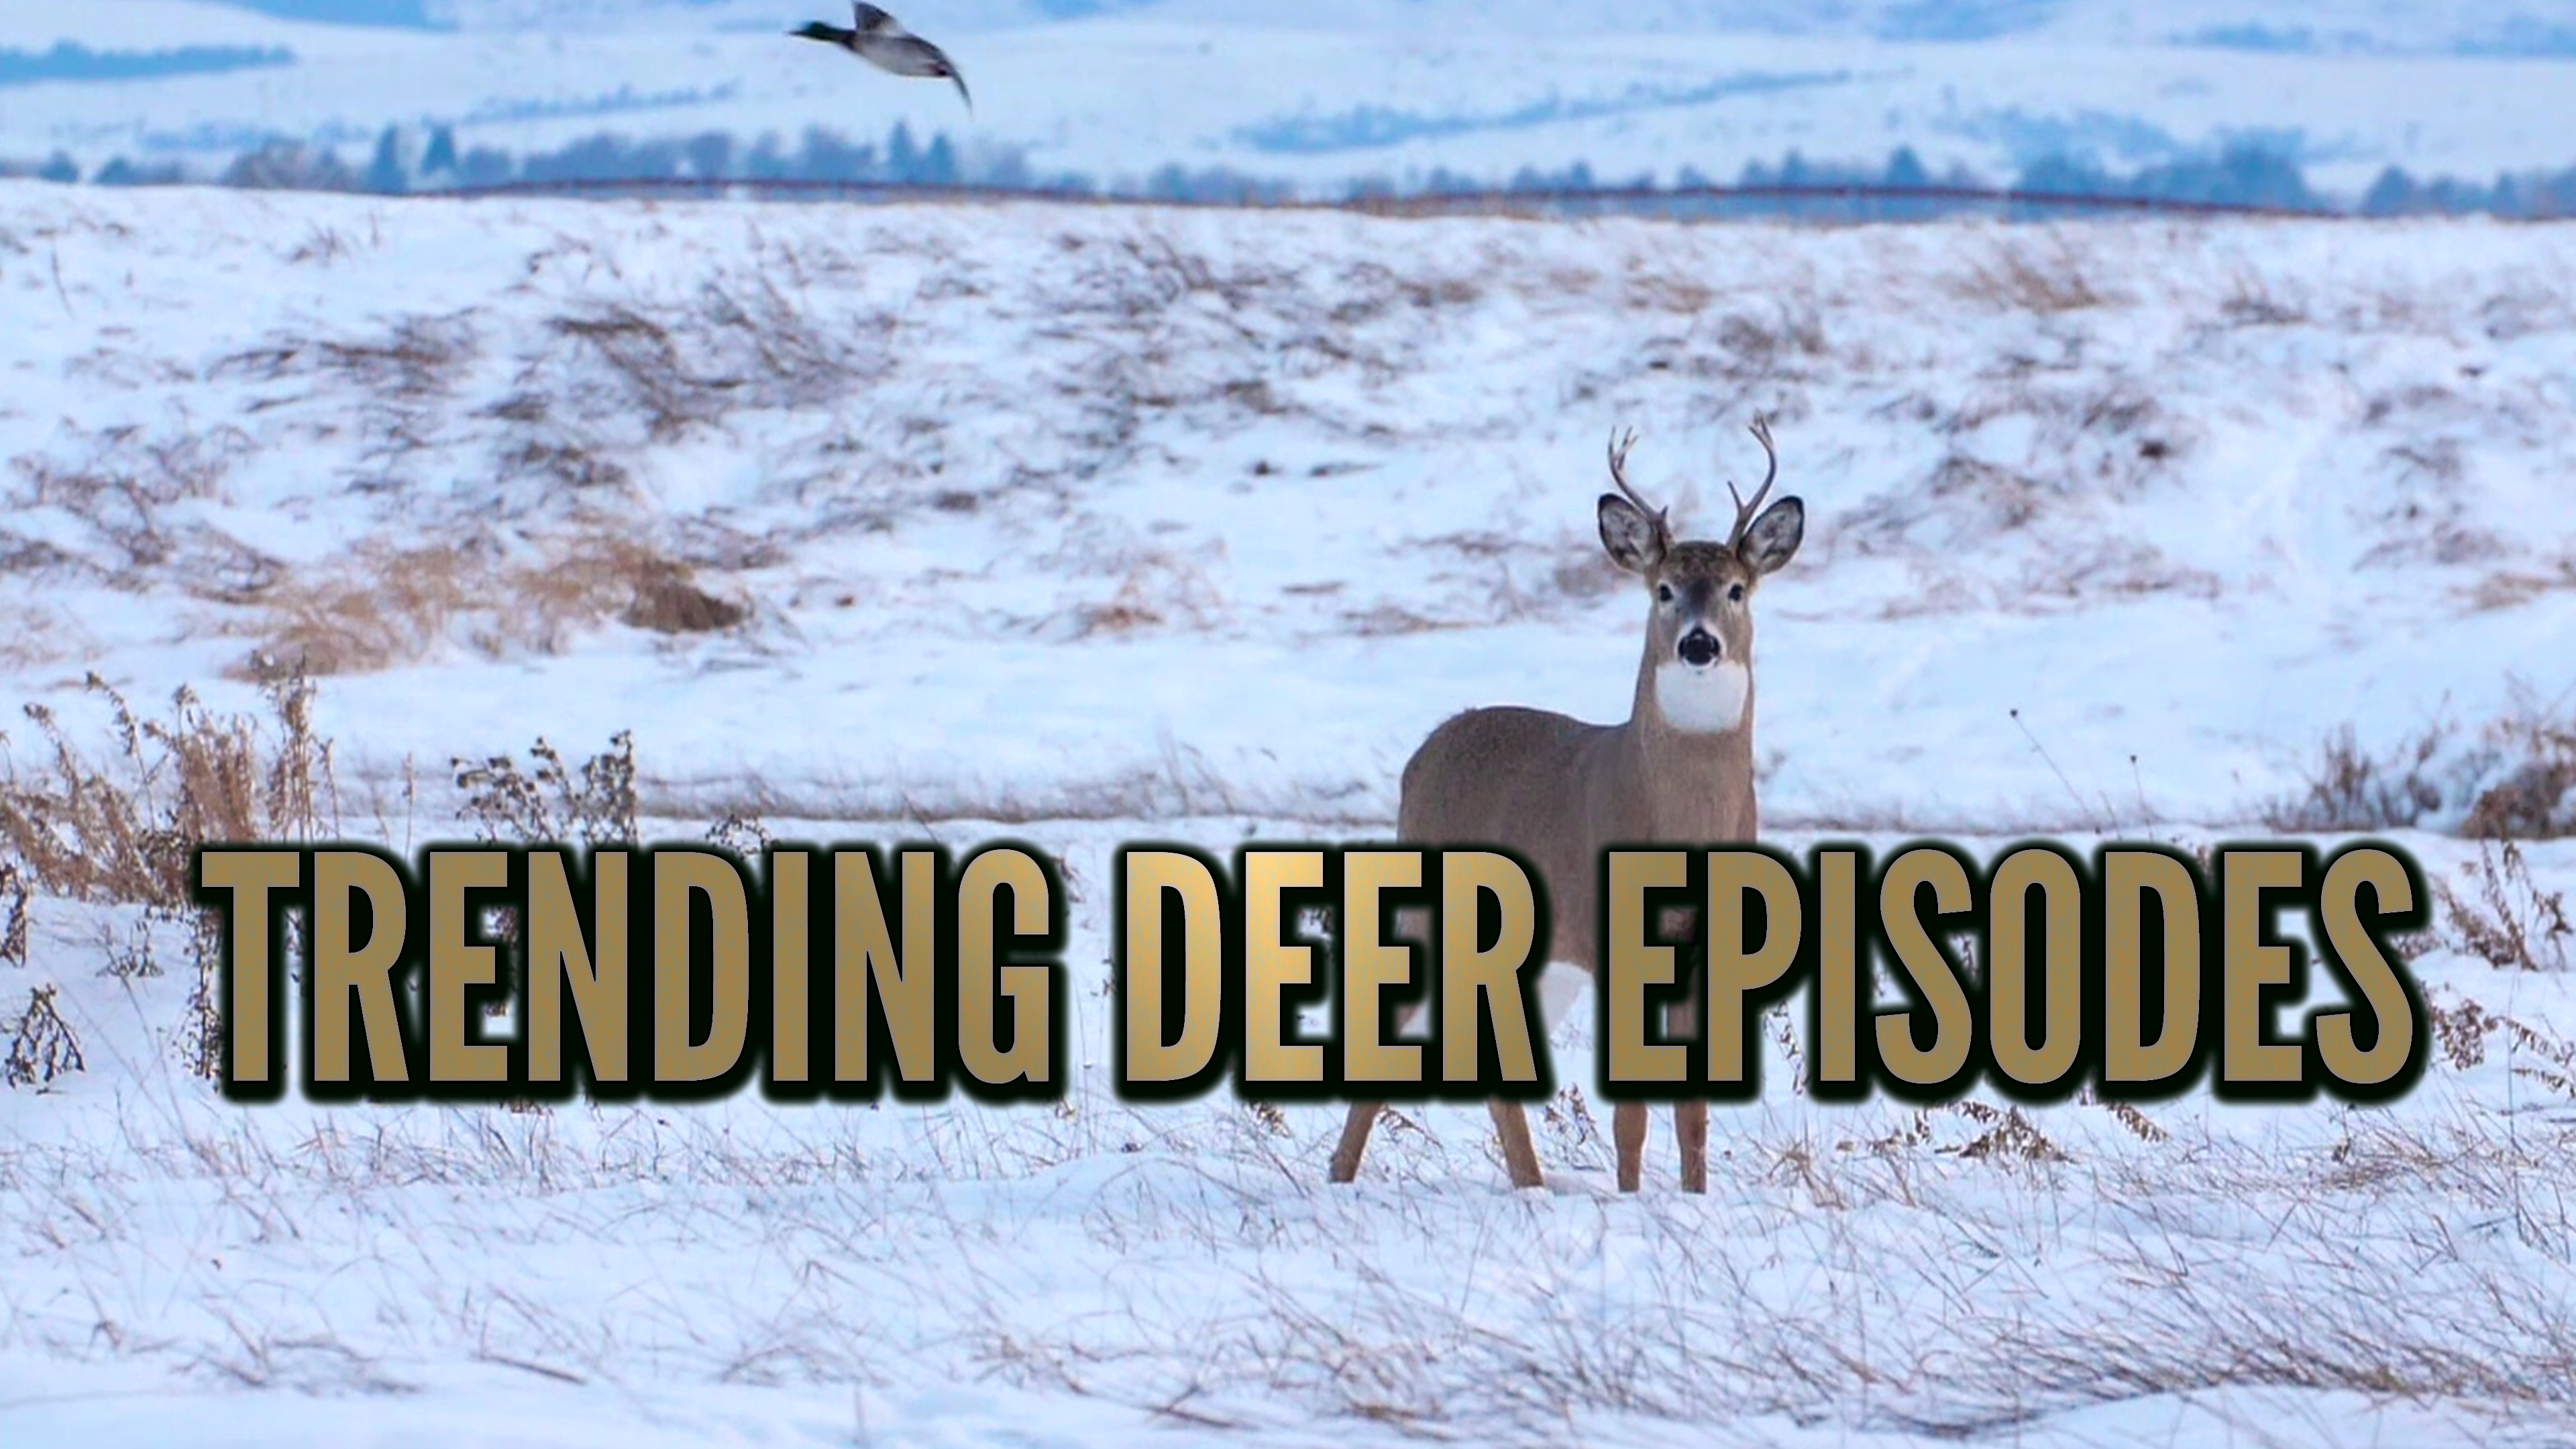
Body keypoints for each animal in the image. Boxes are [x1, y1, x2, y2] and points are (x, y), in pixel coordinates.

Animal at [1328, 415, 1805, 1194]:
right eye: (1663, 589)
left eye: (1737, 589)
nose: (1699, 644)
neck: (1681, 817)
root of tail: (1423, 753)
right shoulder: (1607, 933)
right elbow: (1631, 1116)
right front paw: (1633, 1199)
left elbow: (1694, 1113)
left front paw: (1694, 1197)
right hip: (1435, 914)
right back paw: (1341, 1175)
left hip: (1536, 964)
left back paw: (1532, 1183)